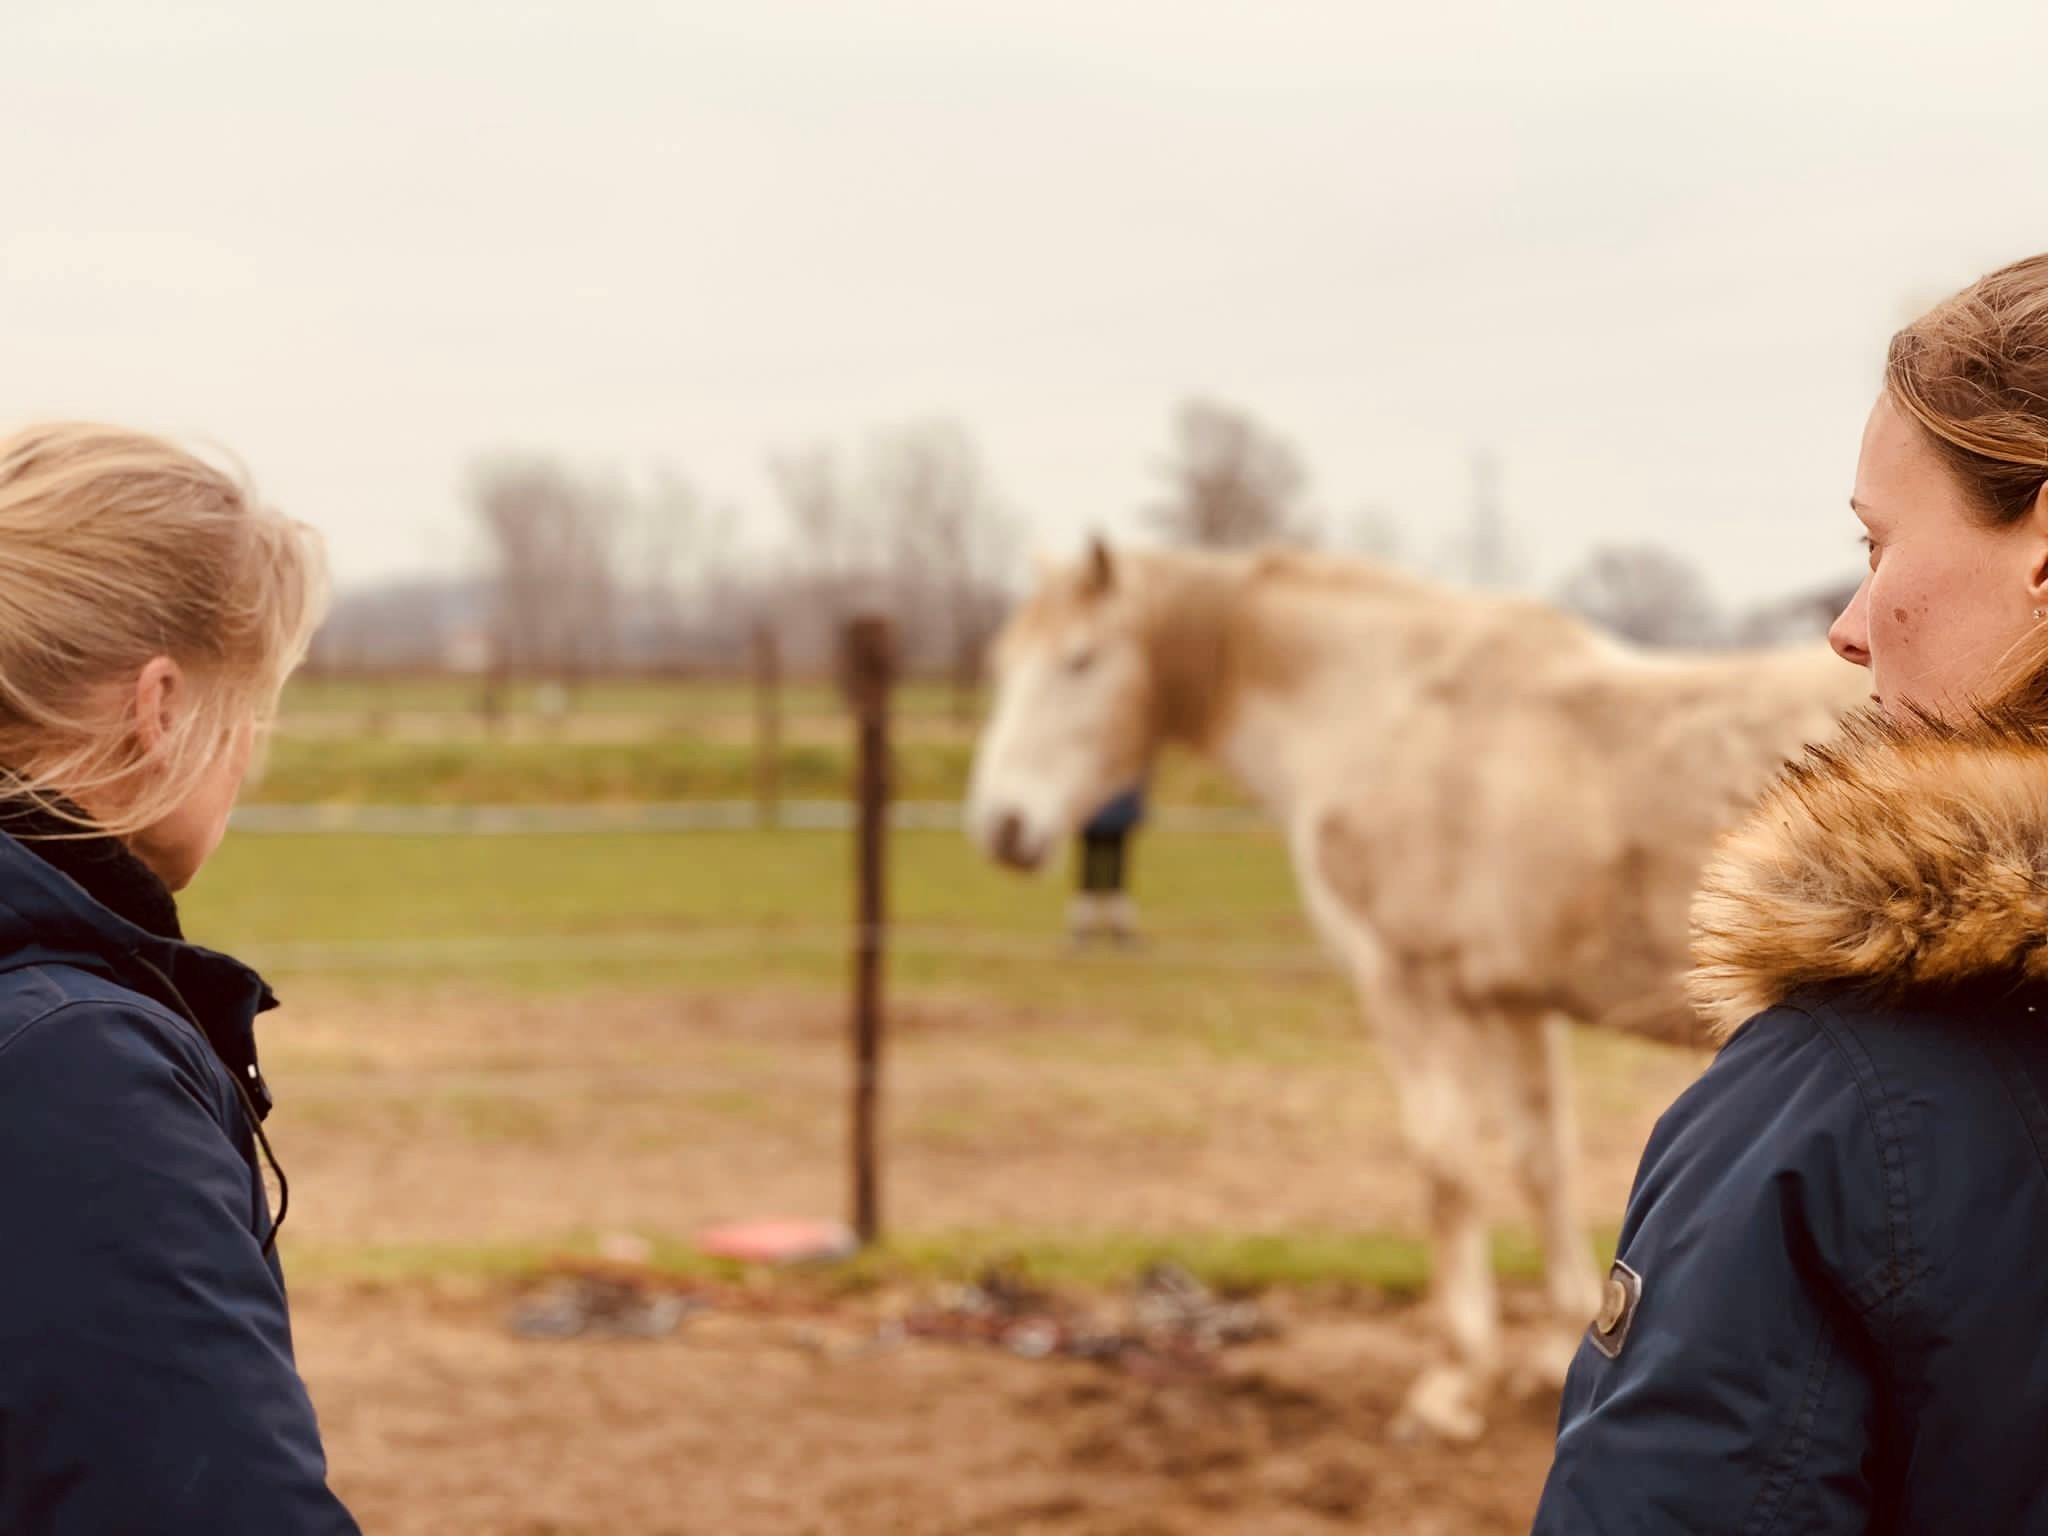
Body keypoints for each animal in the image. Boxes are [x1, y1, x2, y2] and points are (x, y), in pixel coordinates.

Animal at [966, 539, 1868, 1440]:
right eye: (1004, 663)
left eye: (1080, 661)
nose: (1002, 827)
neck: (1384, 710)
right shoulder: (1511, 1000)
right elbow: (1543, 1164)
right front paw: (1552, 1351)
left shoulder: (1409, 986)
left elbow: (1446, 1168)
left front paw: (1452, 1383)